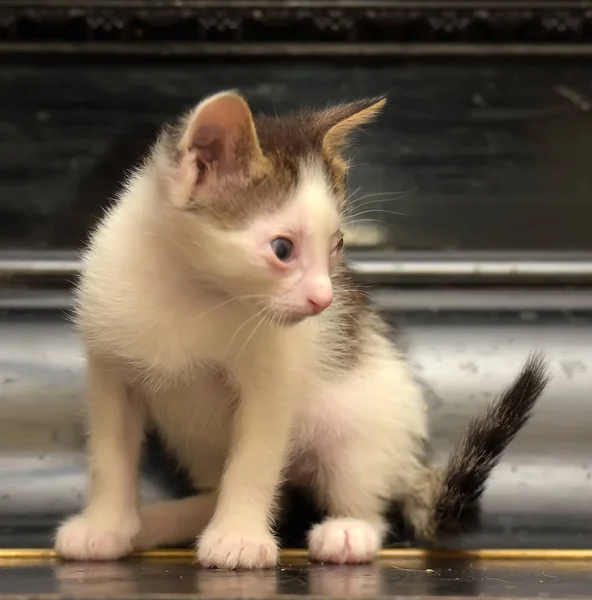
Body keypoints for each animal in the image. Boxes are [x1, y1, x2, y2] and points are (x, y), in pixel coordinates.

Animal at [53, 90, 548, 568]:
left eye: (338, 245)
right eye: (282, 249)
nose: (323, 300)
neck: (192, 293)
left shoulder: (273, 381)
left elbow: (254, 461)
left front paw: (238, 539)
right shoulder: (110, 371)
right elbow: (110, 455)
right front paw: (105, 527)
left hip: (366, 421)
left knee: (359, 494)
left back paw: (349, 530)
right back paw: (153, 523)